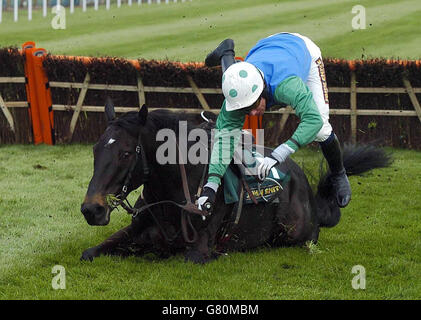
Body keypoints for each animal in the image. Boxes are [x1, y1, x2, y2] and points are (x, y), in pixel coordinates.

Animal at [81, 101, 390, 264]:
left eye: (125, 153)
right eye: (95, 150)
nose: (91, 209)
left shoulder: (198, 249)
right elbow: (90, 252)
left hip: (295, 234)